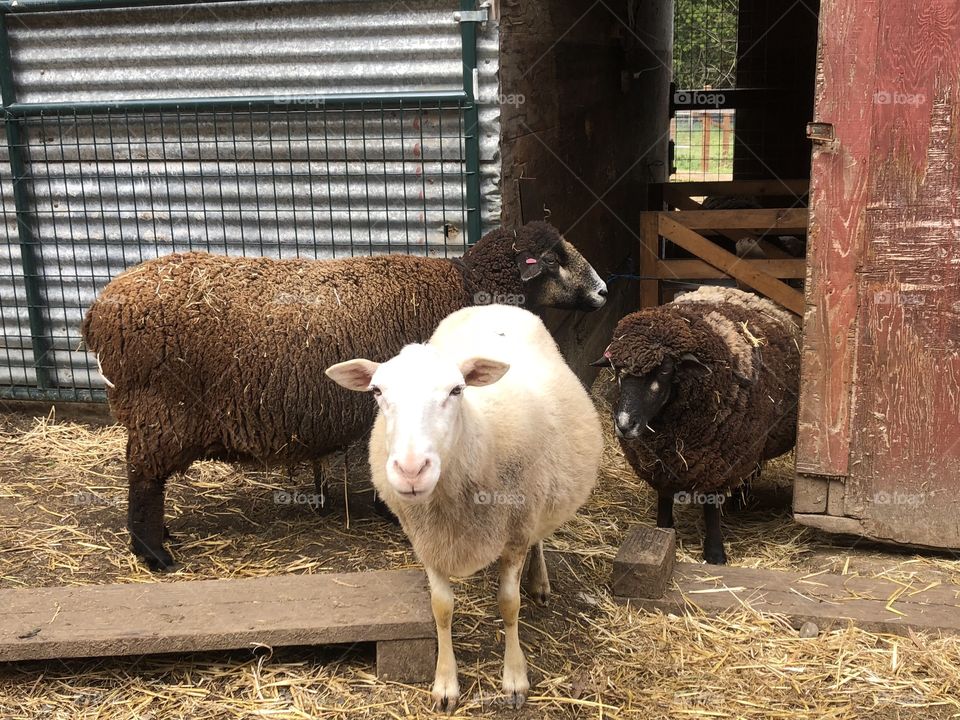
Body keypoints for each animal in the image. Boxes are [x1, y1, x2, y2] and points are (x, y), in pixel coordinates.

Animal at [81, 221, 607, 571]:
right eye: (554, 258)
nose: (604, 292)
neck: (467, 287)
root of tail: (100, 311)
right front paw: (391, 511)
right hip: (162, 412)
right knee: (143, 480)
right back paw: (154, 553)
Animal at [326, 304, 603, 711]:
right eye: (377, 391)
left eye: (457, 389)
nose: (411, 470)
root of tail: (494, 305)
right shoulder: (427, 540)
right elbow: (441, 608)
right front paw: (445, 684)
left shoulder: (516, 533)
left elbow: (509, 604)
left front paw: (514, 679)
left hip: (541, 493)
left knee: (540, 535)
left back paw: (539, 582)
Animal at [594, 286, 800, 564]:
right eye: (616, 369)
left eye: (665, 370)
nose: (624, 424)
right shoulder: (662, 463)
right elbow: (664, 498)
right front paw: (662, 532)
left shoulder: (717, 462)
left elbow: (711, 506)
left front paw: (715, 553)